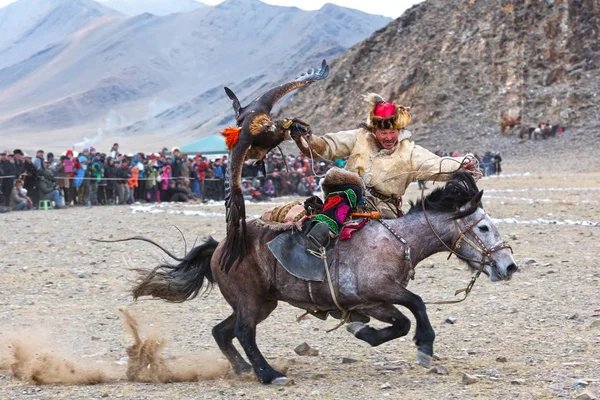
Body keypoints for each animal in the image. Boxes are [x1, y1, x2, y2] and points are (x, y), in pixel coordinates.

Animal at [127, 172, 516, 384]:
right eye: (483, 227)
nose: (509, 266)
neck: (396, 241)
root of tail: (222, 246)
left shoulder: (374, 301)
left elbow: (400, 323)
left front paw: (363, 332)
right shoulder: (381, 289)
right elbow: (417, 305)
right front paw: (424, 346)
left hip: (262, 302)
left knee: (223, 332)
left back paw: (242, 368)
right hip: (251, 301)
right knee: (243, 333)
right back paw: (269, 374)